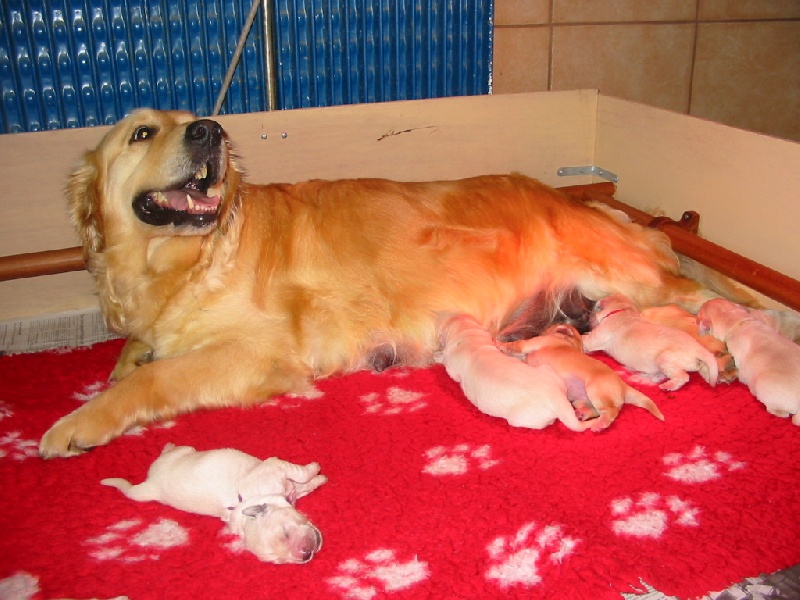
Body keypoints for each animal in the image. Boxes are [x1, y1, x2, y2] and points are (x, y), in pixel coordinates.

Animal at [101, 442, 326, 564]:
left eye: (285, 533)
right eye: (280, 561)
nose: (305, 554)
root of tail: (152, 483)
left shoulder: (274, 467)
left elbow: (298, 478)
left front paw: (315, 474)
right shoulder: (275, 467)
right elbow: (299, 477)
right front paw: (316, 475)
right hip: (179, 455)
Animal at [434, 314, 592, 432]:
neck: (468, 335)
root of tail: (556, 397)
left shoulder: (452, 367)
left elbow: (448, 367)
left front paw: (437, 355)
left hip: (522, 418)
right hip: (548, 371)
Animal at [500, 324, 664, 432]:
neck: (569, 342)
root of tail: (623, 386)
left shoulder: (532, 343)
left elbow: (516, 345)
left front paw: (499, 344)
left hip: (596, 390)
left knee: (611, 411)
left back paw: (600, 424)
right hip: (580, 399)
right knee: (595, 410)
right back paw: (581, 414)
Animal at [580, 292, 720, 392]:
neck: (623, 311)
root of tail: (698, 348)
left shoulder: (596, 337)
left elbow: (584, 340)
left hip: (665, 358)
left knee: (683, 376)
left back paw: (668, 386)